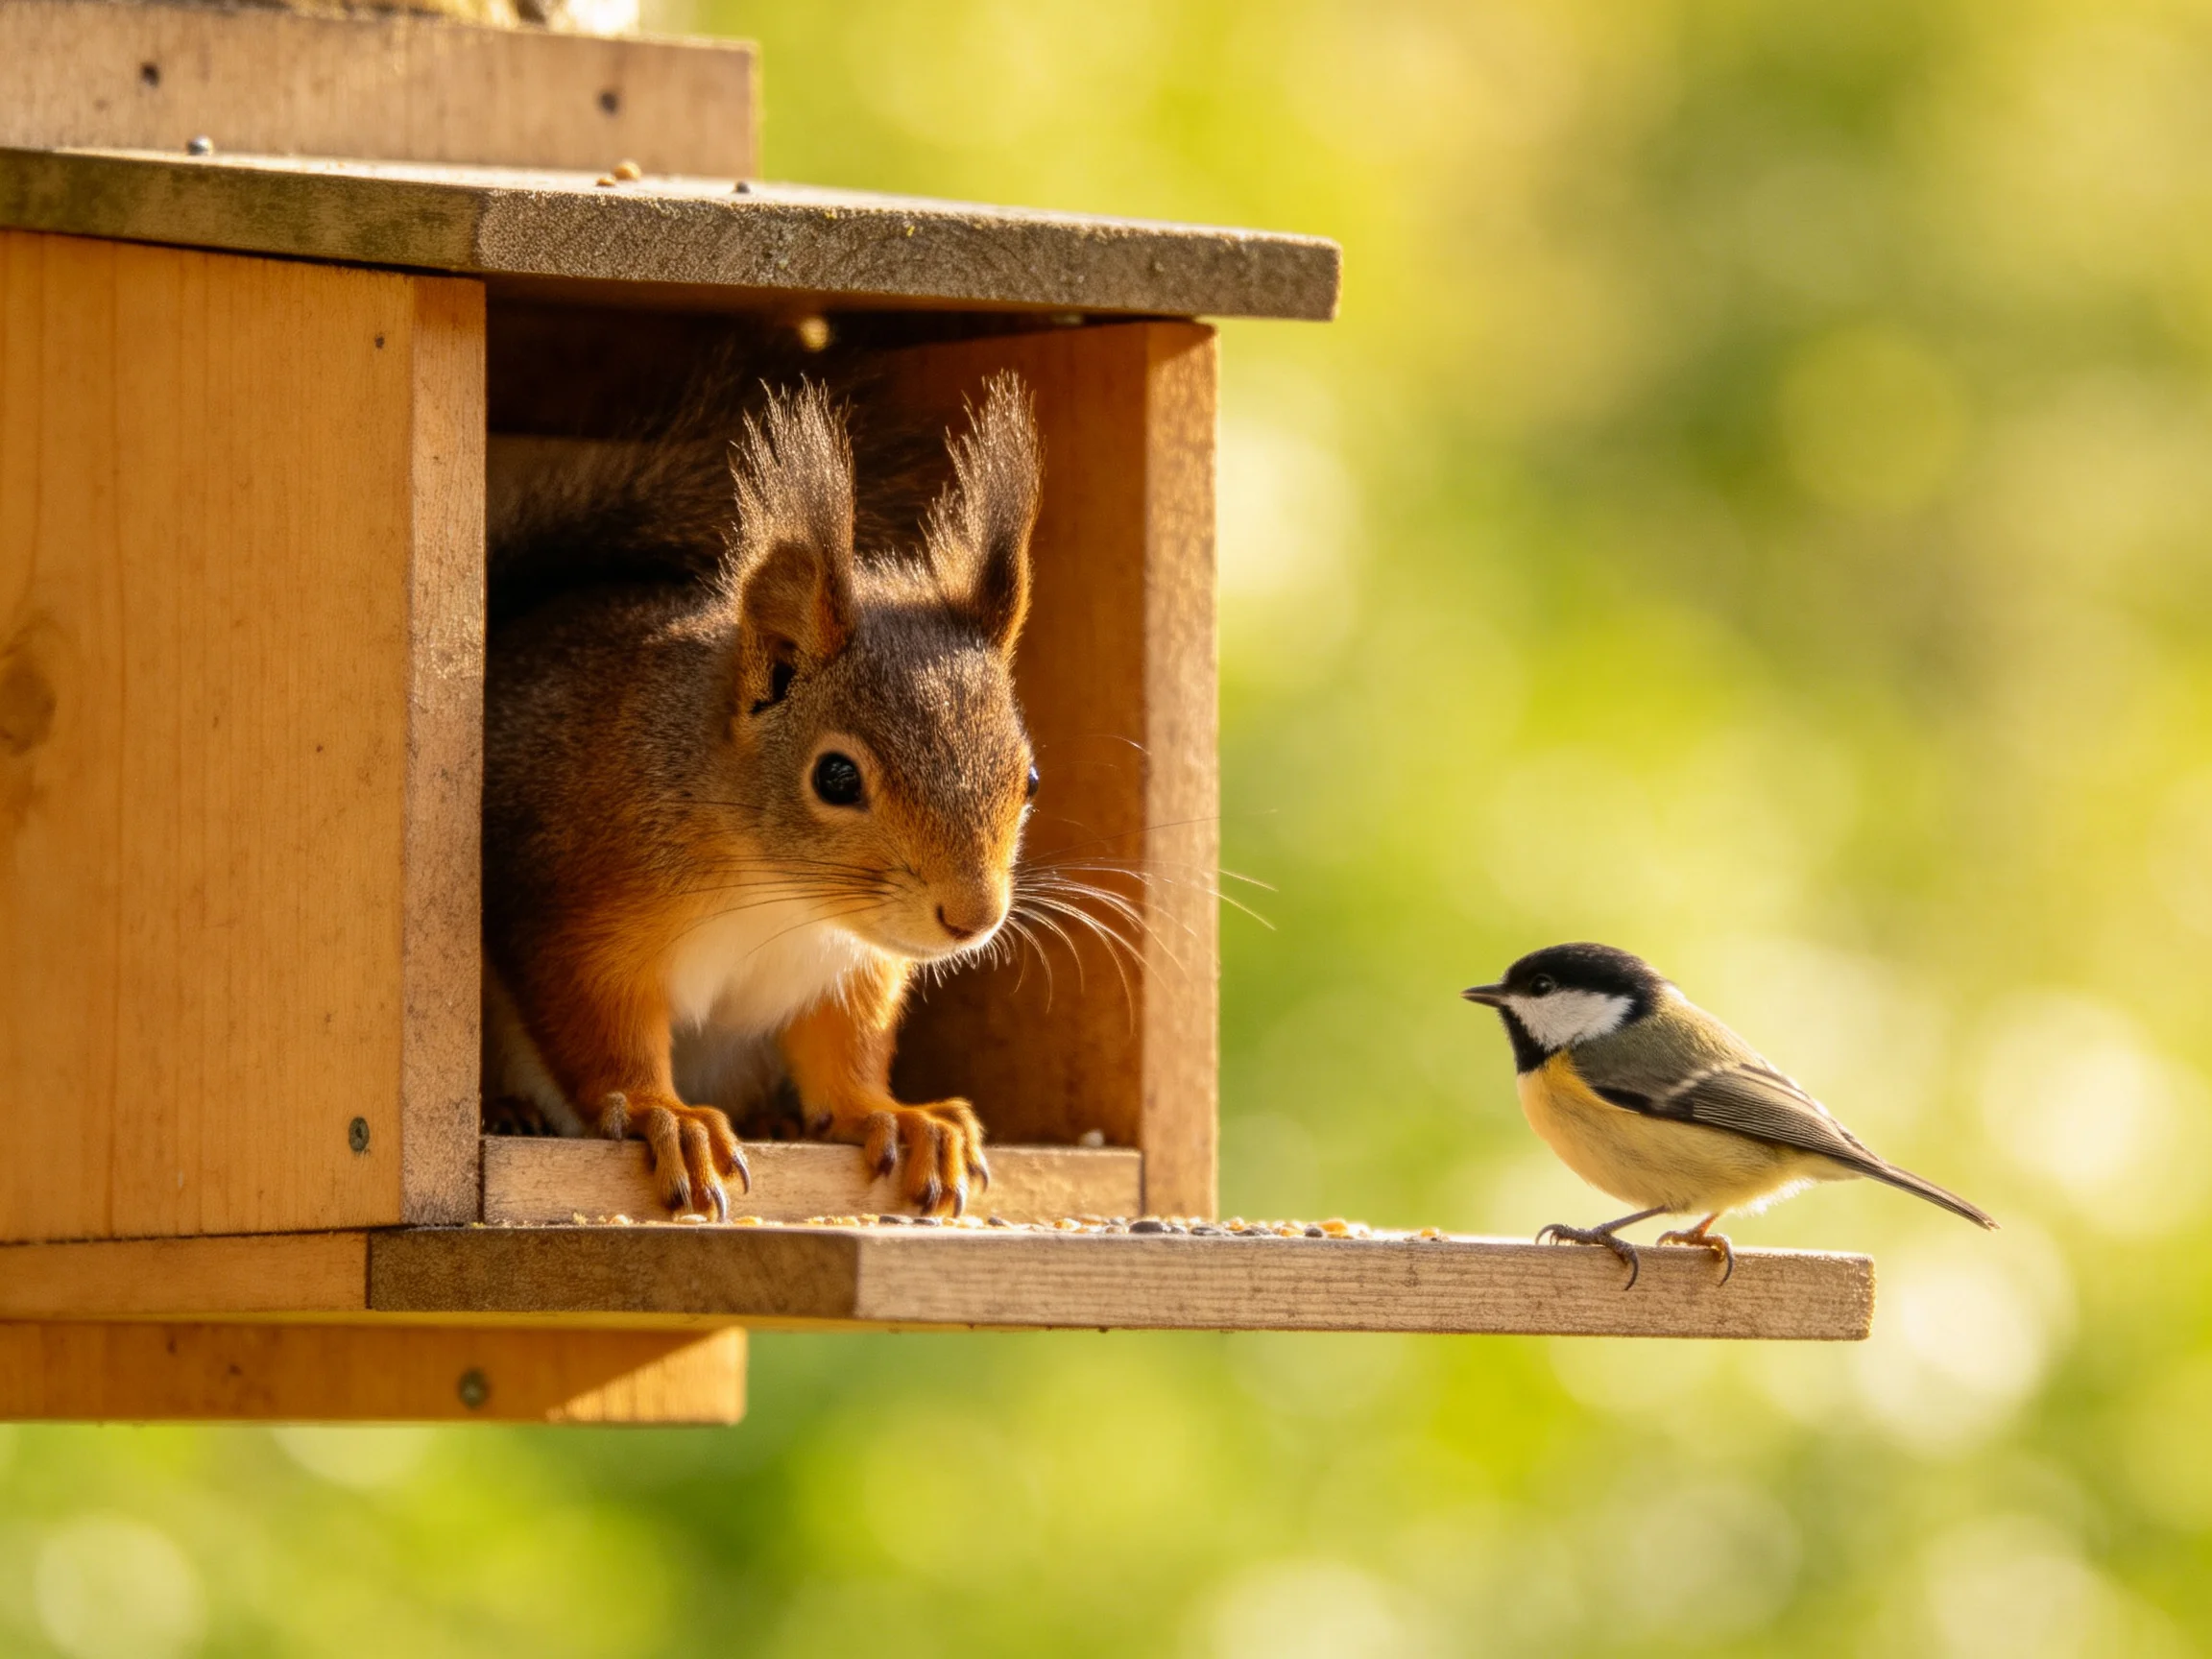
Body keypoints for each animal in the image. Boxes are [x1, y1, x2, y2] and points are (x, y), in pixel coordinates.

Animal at [481, 376, 1044, 1219]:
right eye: (836, 778)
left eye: (1028, 779)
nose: (972, 918)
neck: (778, 895)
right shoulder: (574, 914)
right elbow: (600, 1029)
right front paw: (666, 1117)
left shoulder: (847, 971)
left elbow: (846, 1049)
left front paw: (898, 1116)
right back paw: (506, 1111)